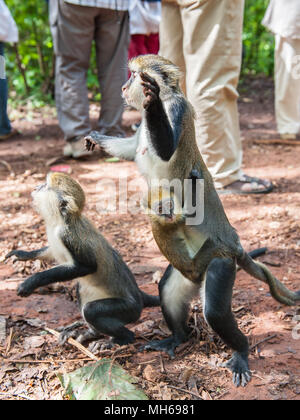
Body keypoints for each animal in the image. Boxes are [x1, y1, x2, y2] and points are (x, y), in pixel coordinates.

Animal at [5, 172, 159, 346]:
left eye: (45, 185)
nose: (36, 187)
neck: (60, 220)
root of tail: (139, 296)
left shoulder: (67, 236)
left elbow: (87, 267)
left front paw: (31, 282)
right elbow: (51, 252)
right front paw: (23, 254)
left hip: (129, 310)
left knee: (91, 311)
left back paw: (122, 338)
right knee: (81, 291)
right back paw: (91, 333)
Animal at [84, 55, 300, 388]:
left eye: (133, 75)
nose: (123, 86)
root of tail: (234, 243)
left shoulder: (177, 110)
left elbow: (165, 149)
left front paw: (150, 101)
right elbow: (130, 149)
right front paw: (96, 137)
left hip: (220, 261)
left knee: (216, 312)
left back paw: (241, 351)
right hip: (191, 269)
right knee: (168, 290)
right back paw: (177, 337)